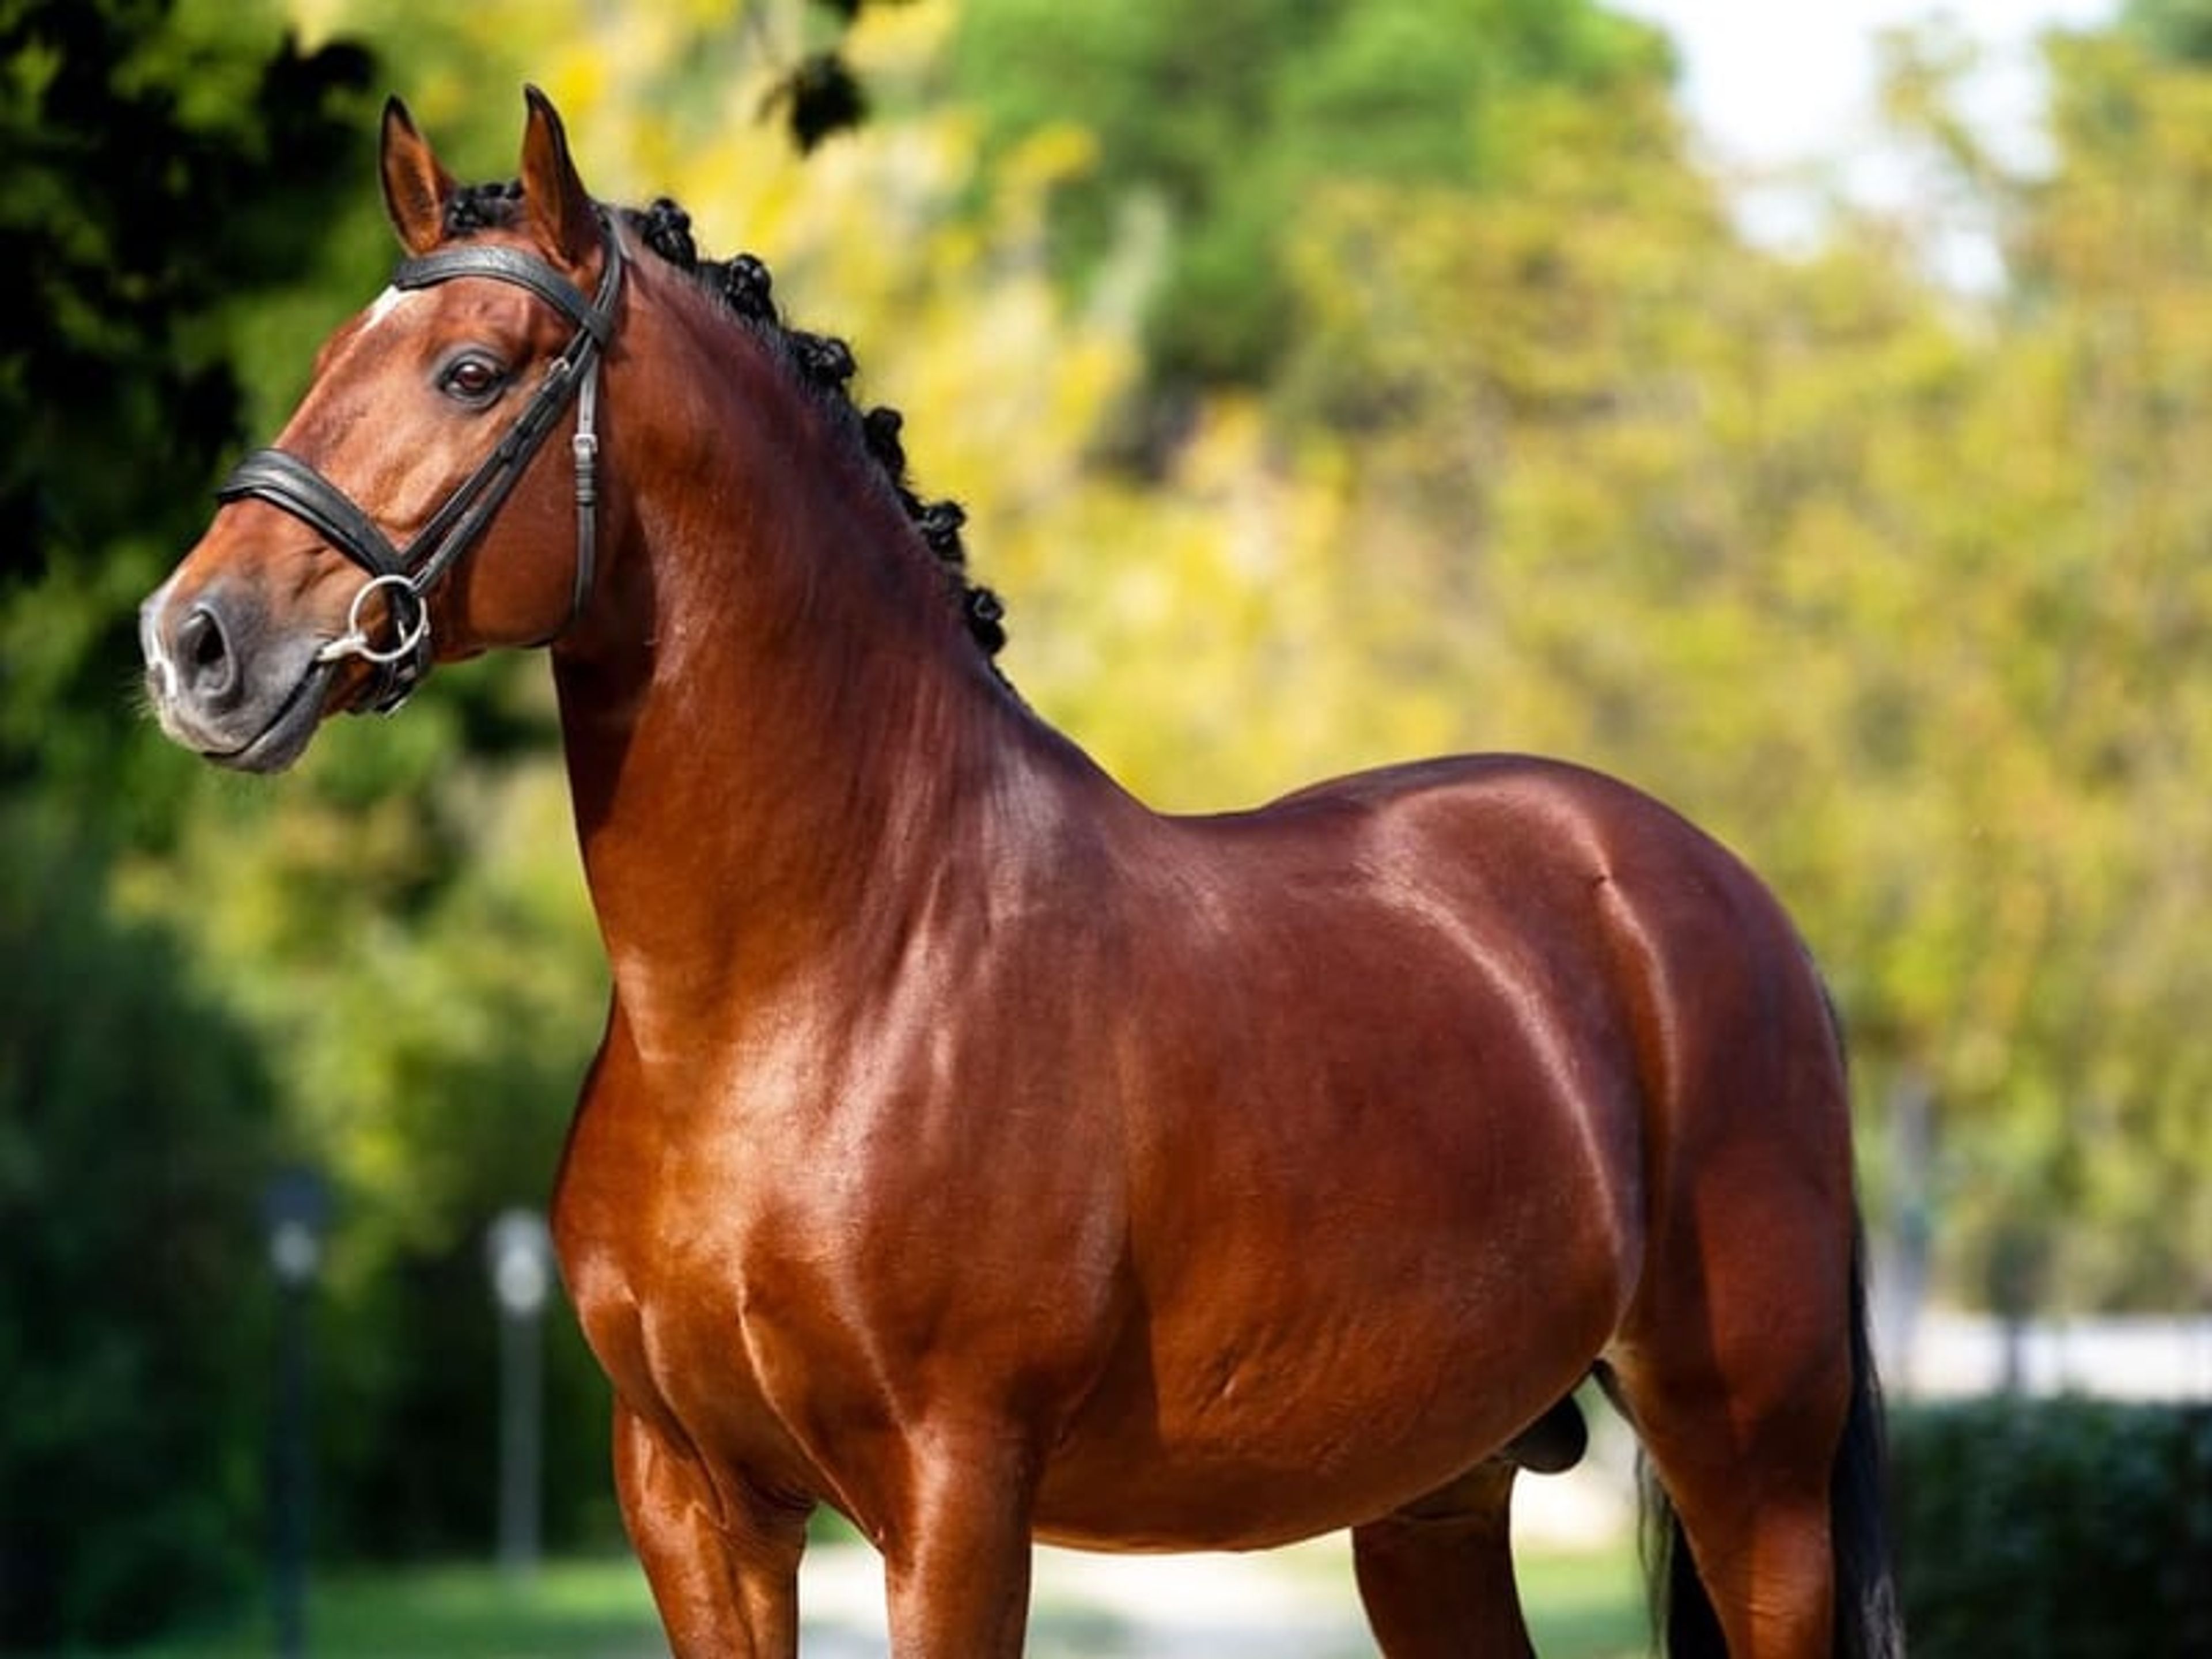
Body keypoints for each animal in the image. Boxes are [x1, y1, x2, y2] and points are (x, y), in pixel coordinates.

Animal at [139, 90, 1902, 1658]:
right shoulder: (693, 1498)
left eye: (471, 370)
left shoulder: (954, 1499)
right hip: (1438, 1497)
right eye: (324, 362)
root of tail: (1712, 893)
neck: (817, 978)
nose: (195, 644)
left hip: (1752, 1472)